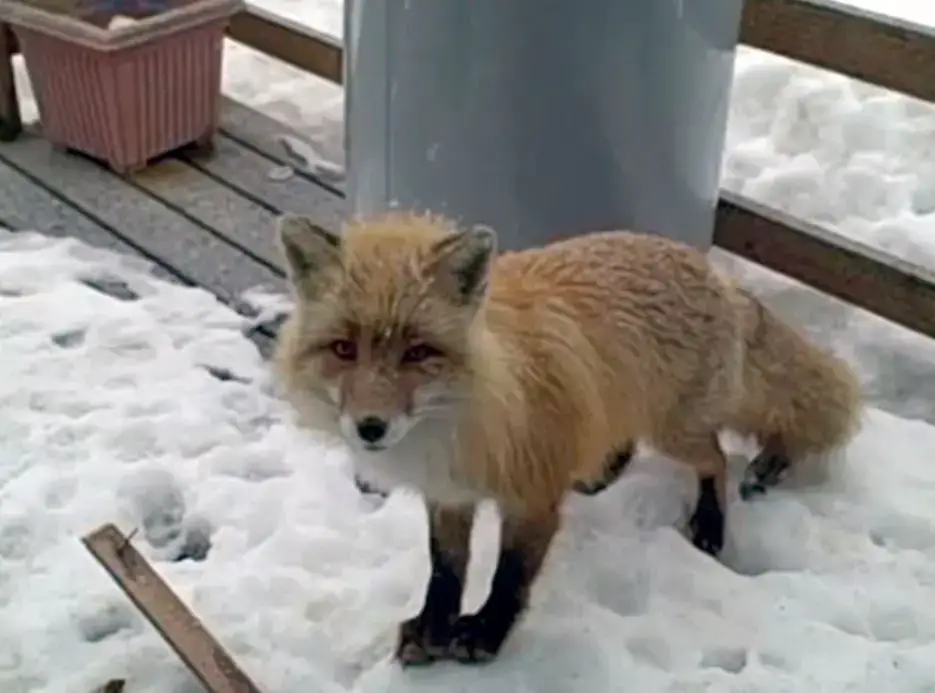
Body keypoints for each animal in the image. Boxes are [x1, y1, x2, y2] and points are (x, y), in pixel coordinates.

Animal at [270, 209, 864, 664]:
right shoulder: (450, 496)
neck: (463, 420)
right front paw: (434, 627)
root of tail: (713, 272)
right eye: (343, 349)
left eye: (418, 351)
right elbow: (446, 569)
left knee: (715, 460)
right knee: (627, 441)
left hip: (675, 431)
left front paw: (485, 634)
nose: (370, 427)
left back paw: (710, 525)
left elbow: (510, 576)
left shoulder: (532, 499)